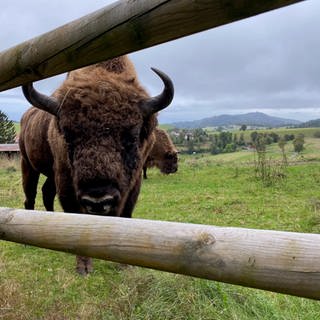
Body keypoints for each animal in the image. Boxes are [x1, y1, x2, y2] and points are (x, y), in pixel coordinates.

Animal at [19, 55, 175, 276]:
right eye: (68, 135)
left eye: (132, 136)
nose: (98, 199)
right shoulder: (66, 181)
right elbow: (77, 218)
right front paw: (84, 267)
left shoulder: (134, 183)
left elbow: (125, 215)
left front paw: (125, 265)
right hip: (28, 165)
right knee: (30, 196)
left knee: (46, 193)